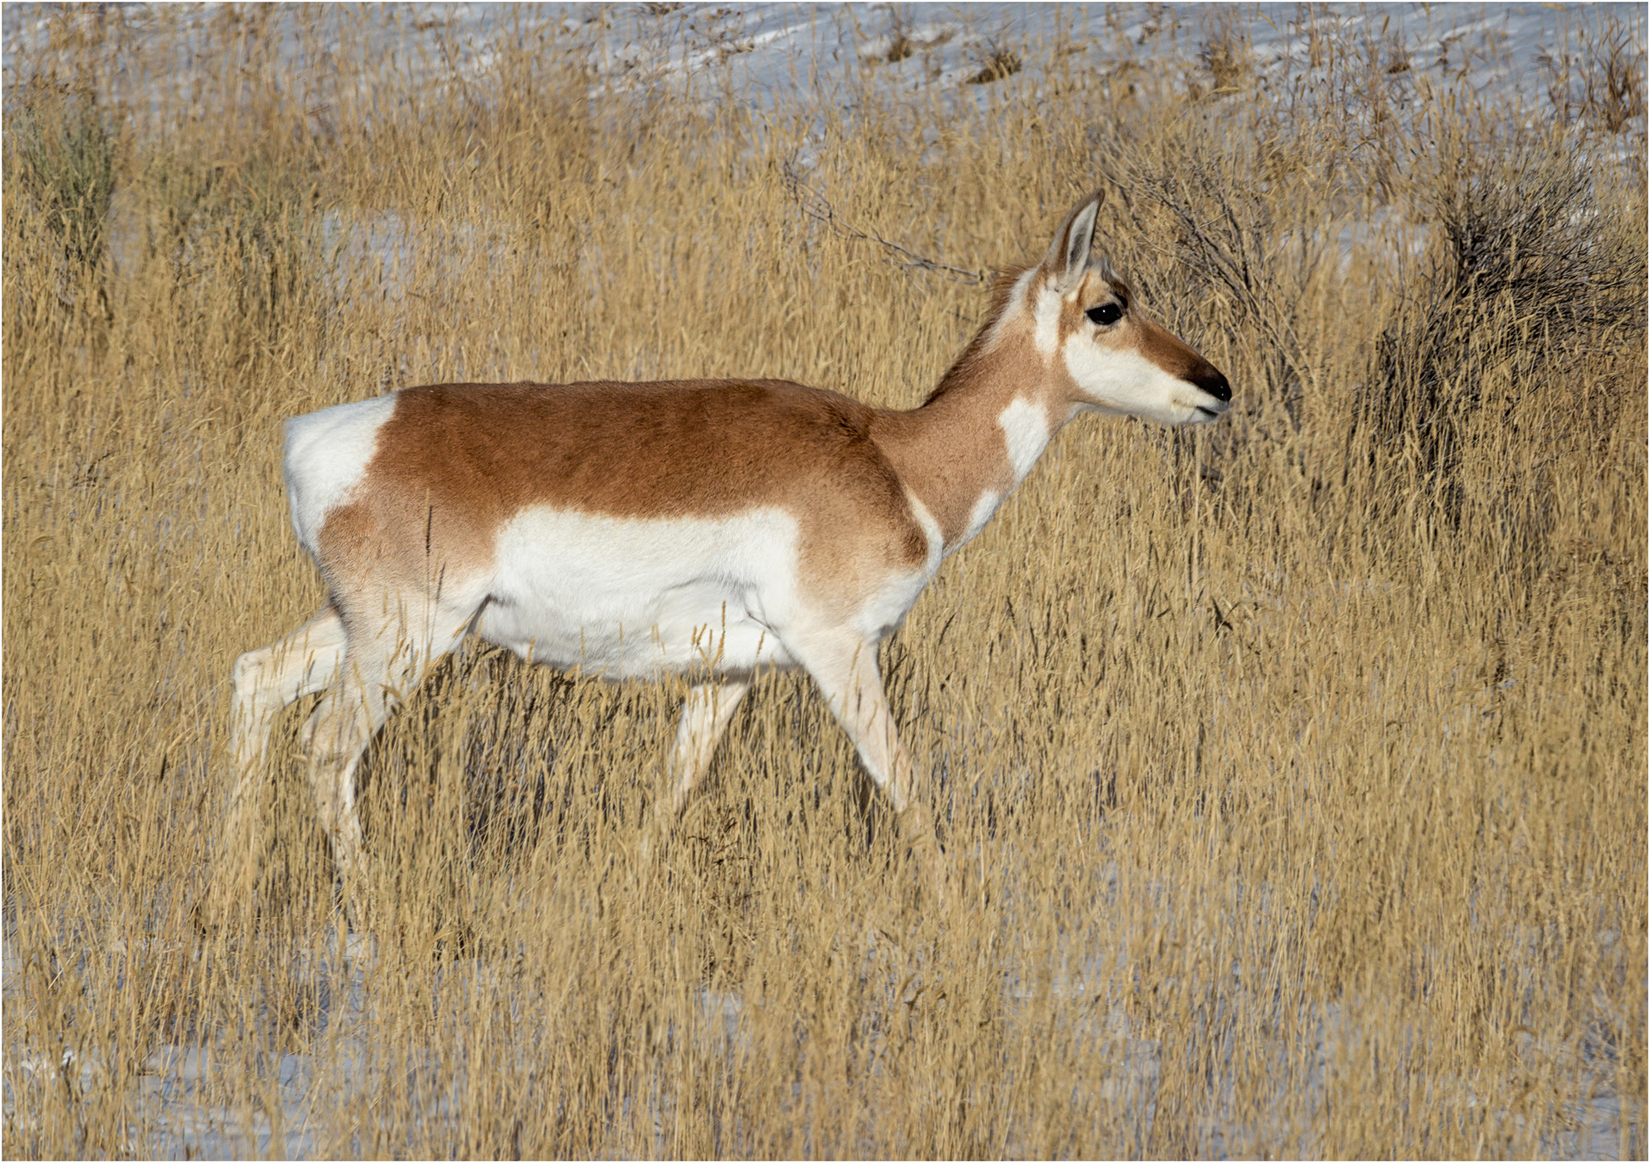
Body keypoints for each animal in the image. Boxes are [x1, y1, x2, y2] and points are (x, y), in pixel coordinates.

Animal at [218, 190, 1230, 927]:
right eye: (1108, 306)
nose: (1217, 385)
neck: (897, 459)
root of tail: (320, 437)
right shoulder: (838, 651)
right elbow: (903, 785)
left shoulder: (727, 675)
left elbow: (669, 797)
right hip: (407, 639)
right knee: (325, 746)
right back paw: (368, 914)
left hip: (363, 629)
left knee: (256, 678)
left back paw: (231, 887)